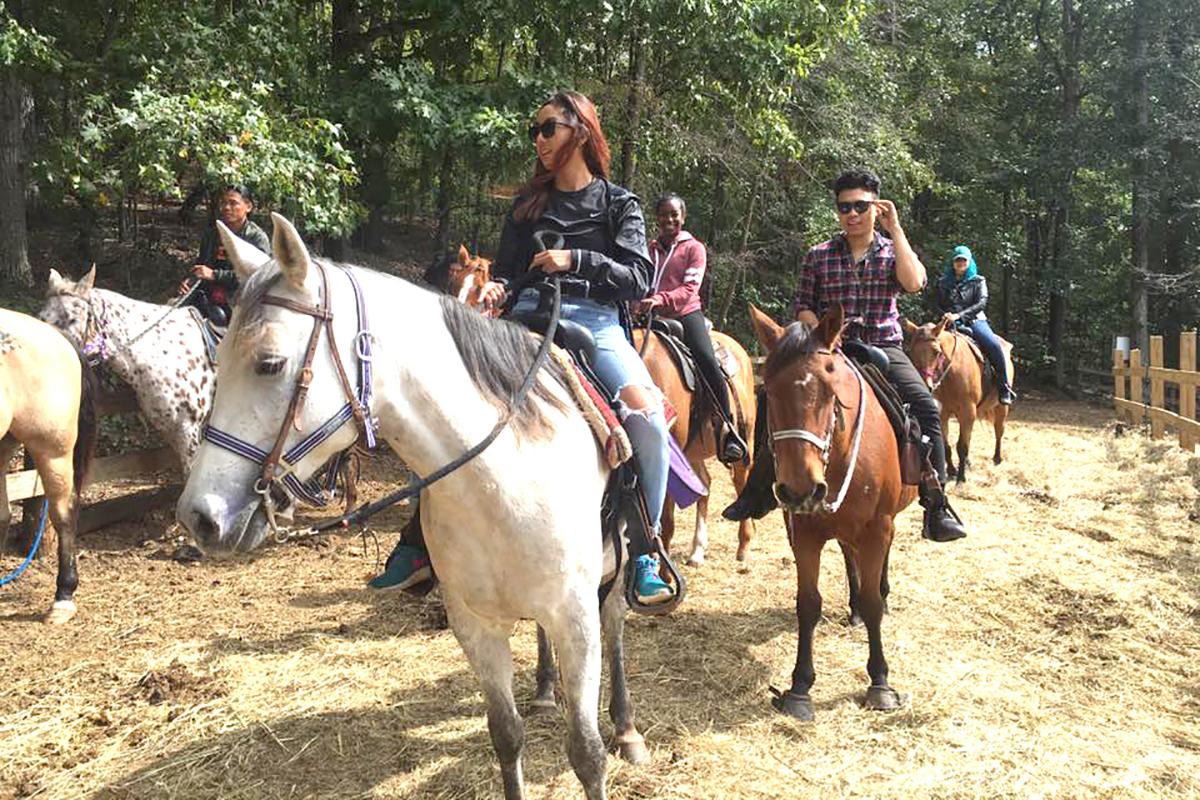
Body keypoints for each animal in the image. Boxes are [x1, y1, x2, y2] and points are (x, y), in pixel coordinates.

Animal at [172, 214, 648, 800]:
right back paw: (542, 690)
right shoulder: (473, 623)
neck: (501, 483)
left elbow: (585, 752)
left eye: (270, 364)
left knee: (617, 623)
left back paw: (627, 727)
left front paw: (608, 737)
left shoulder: (575, 617)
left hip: (617, 568)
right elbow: (506, 735)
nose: (199, 516)